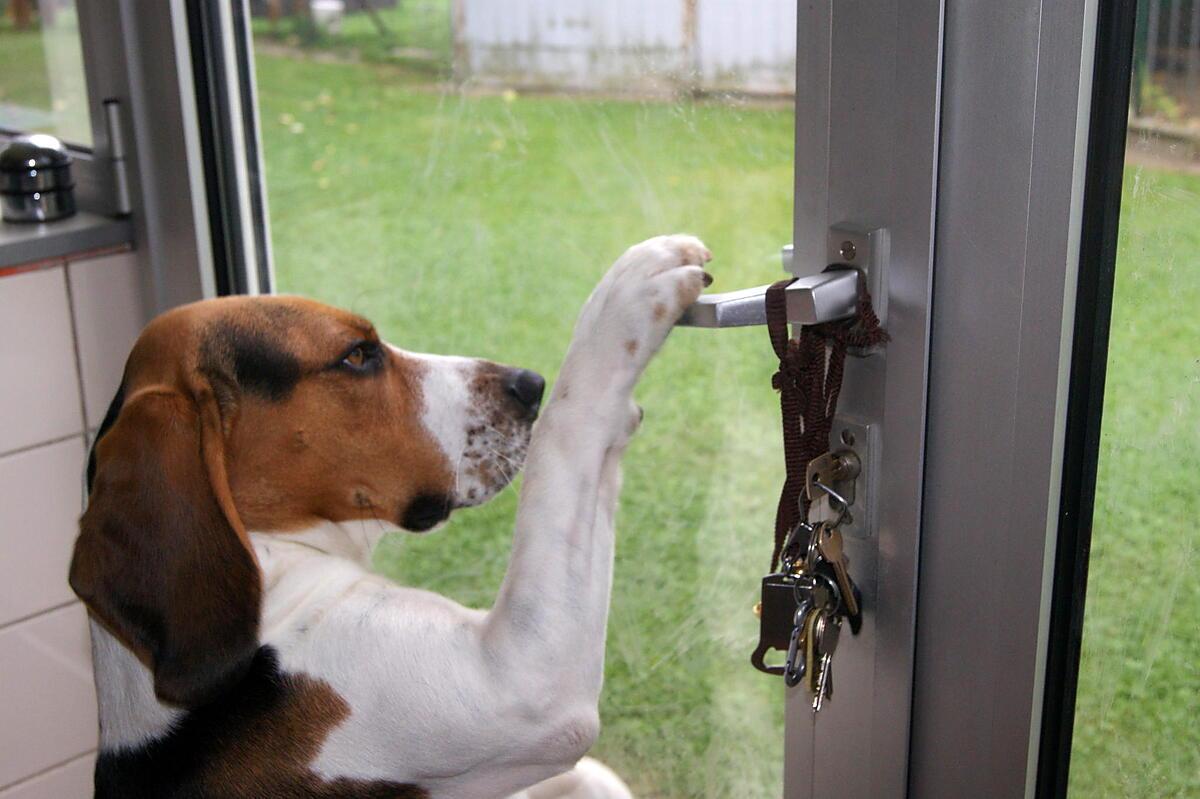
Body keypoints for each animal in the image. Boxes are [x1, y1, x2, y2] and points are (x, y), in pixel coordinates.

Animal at [70, 233, 710, 791]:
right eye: (357, 355)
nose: (529, 384)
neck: (269, 552)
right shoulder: (522, 675)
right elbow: (569, 426)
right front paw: (629, 289)